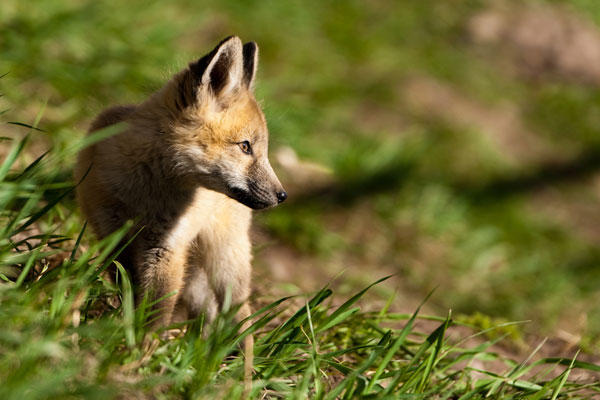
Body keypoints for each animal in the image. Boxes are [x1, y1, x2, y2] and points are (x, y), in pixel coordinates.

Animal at [74, 36, 290, 382]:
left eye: (263, 150)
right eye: (245, 147)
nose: (283, 195)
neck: (146, 196)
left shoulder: (167, 248)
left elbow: (156, 312)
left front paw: (139, 354)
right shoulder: (113, 236)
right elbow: (131, 294)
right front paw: (127, 336)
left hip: (225, 265)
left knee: (240, 317)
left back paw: (236, 369)